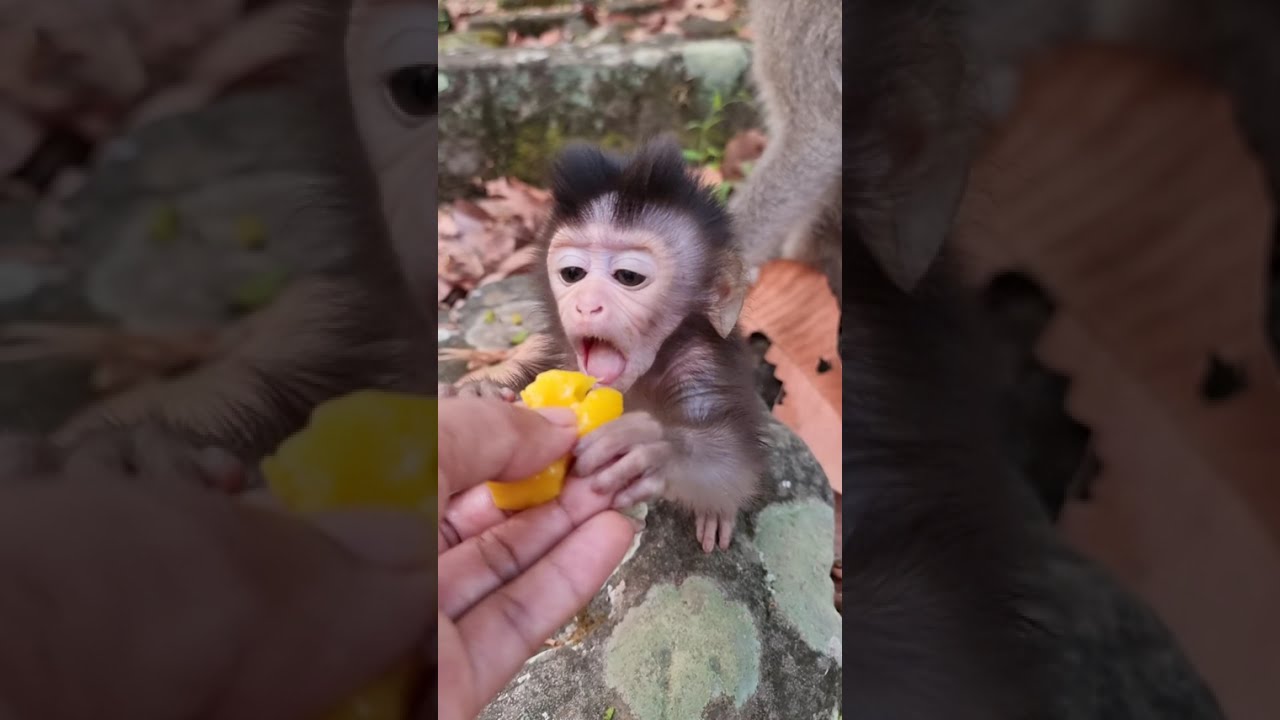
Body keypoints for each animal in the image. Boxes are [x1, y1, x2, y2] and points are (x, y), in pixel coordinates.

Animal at [447, 138, 770, 554]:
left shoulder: (699, 364)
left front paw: (655, 448)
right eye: (572, 274)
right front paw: (480, 394)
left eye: (628, 276)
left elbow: (735, 458)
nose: (587, 305)